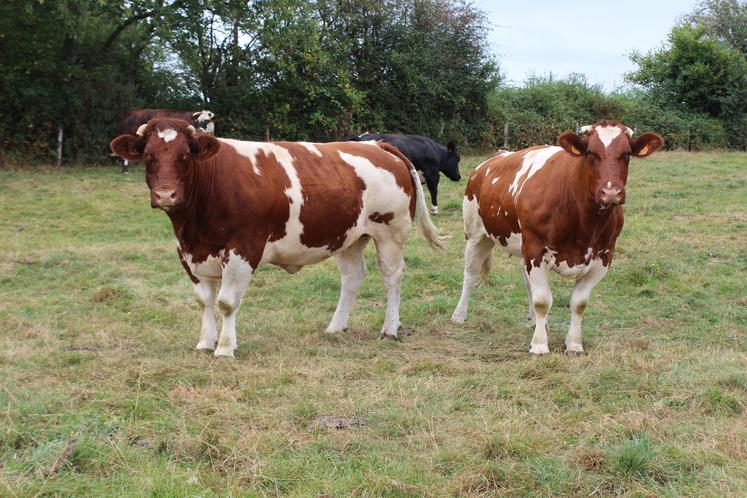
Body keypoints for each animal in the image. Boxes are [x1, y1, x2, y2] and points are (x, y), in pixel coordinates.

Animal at [111, 116, 444, 358]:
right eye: (149, 156)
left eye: (185, 156)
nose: (166, 194)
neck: (194, 227)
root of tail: (379, 144)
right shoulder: (189, 254)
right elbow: (204, 301)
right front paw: (205, 343)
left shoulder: (243, 250)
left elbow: (226, 303)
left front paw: (224, 348)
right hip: (349, 236)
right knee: (352, 277)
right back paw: (336, 327)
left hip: (390, 232)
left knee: (392, 276)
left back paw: (390, 329)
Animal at [452, 119, 664, 354]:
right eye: (590, 153)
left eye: (626, 154)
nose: (610, 193)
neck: (585, 223)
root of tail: (492, 160)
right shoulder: (536, 249)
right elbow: (542, 300)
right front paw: (539, 345)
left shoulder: (604, 256)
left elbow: (579, 303)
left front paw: (574, 344)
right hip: (476, 234)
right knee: (470, 274)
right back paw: (459, 315)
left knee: (527, 283)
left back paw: (535, 322)